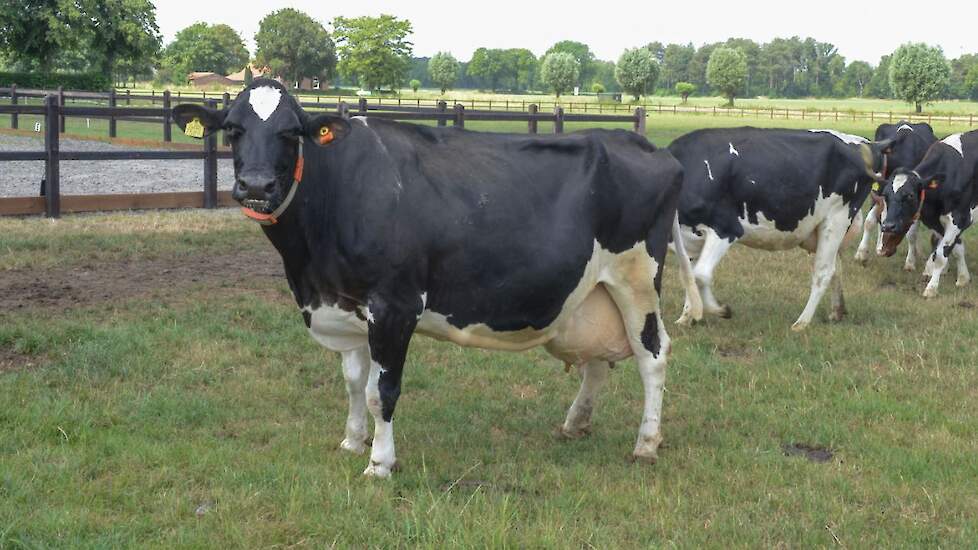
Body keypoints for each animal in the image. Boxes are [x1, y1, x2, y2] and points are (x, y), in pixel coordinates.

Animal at [170, 80, 700, 480]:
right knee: (599, 359)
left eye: (290, 132)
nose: (256, 186)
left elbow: (381, 390)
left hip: (636, 276)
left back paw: (646, 443)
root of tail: (642, 143)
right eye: (233, 129)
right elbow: (352, 381)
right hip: (592, 292)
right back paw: (575, 423)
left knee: (653, 355)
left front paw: (380, 464)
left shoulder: (394, 305)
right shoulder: (346, 302)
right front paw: (351, 441)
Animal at [668, 126, 888, 332]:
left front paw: (721, 310)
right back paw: (836, 312)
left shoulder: (726, 228)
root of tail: (866, 143)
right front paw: (687, 317)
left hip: (836, 218)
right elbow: (688, 275)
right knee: (837, 268)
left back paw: (802, 323)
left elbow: (700, 275)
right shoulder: (690, 238)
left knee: (823, 271)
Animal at [856, 123, 936, 274]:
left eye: (909, 196)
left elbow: (911, 233)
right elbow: (869, 221)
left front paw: (910, 262)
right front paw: (861, 254)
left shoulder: (917, 204)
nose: (884, 251)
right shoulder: (878, 192)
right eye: (886, 196)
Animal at [876, 130, 976, 298]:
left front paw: (931, 288)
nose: (888, 226)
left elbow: (941, 255)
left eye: (910, 195)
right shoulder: (936, 220)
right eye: (885, 195)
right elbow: (955, 248)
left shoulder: (960, 218)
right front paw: (963, 278)